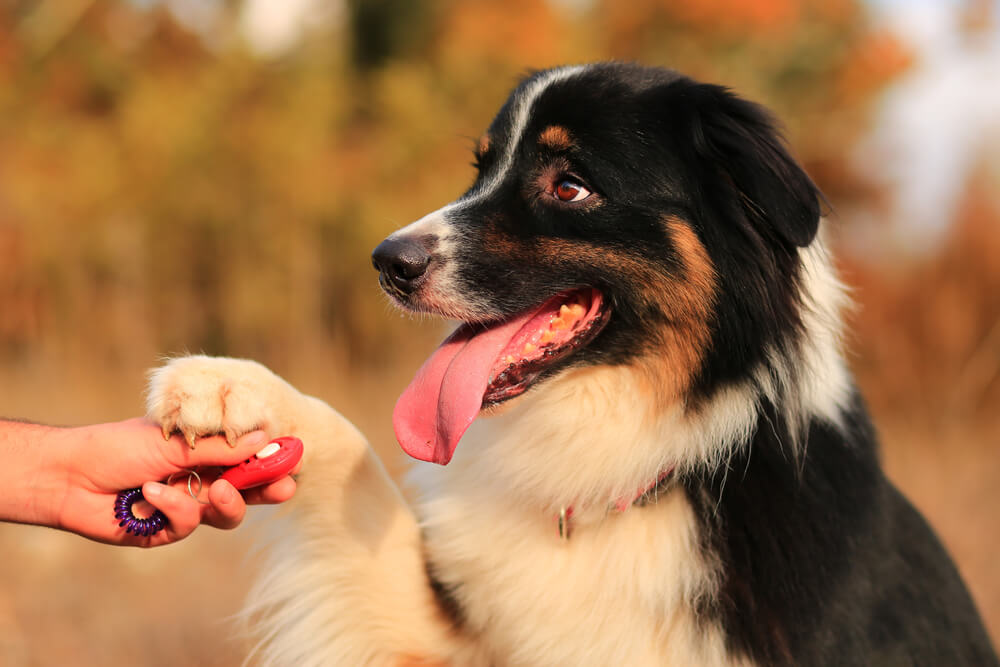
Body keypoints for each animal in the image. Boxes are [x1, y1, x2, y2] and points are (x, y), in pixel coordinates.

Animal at [145, 64, 996, 667]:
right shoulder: (454, 637)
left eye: (571, 184)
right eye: (480, 170)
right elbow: (357, 465)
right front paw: (226, 383)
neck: (628, 470)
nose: (388, 261)